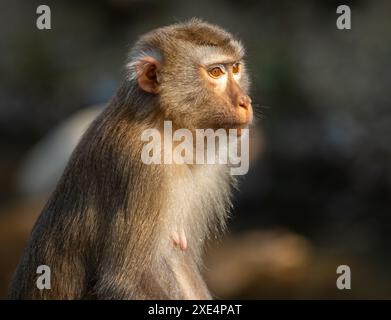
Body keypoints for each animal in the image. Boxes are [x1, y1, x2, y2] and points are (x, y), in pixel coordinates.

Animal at [9, 18, 256, 300]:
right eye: (216, 72)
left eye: (235, 68)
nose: (245, 101)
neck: (165, 125)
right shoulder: (145, 166)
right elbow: (125, 280)